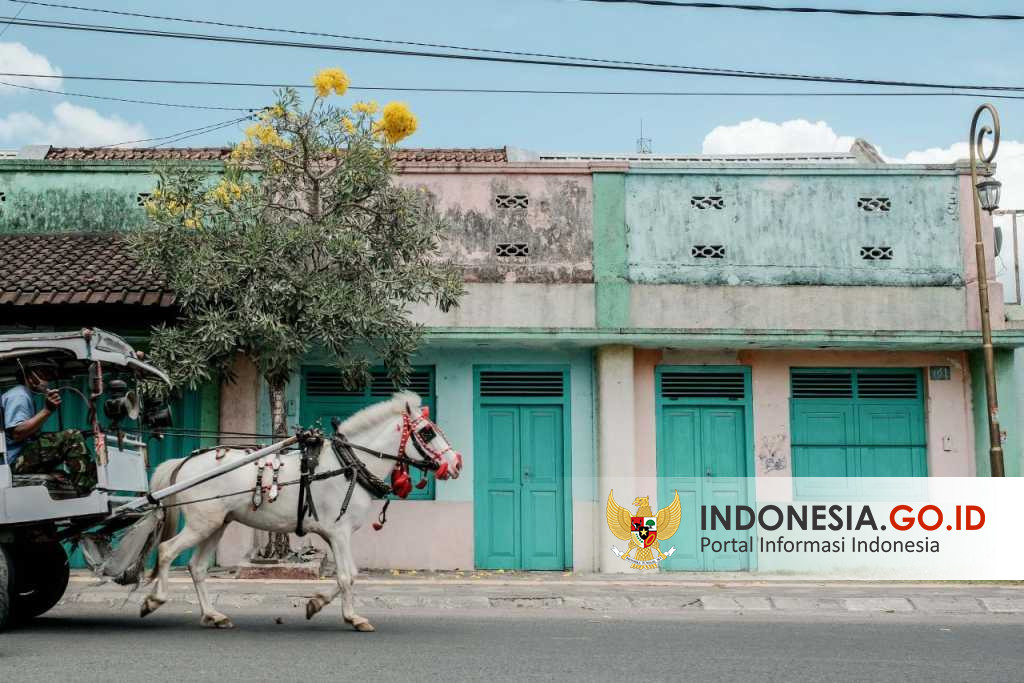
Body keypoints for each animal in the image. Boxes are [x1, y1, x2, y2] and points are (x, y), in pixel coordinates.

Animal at [142, 393, 462, 634]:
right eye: (427, 432)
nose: (456, 464)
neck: (349, 464)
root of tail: (183, 461)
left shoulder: (335, 535)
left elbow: (348, 574)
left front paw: (316, 604)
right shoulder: (340, 533)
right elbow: (346, 575)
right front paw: (352, 617)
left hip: (217, 524)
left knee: (197, 567)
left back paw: (213, 615)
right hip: (201, 523)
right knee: (167, 550)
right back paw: (155, 599)